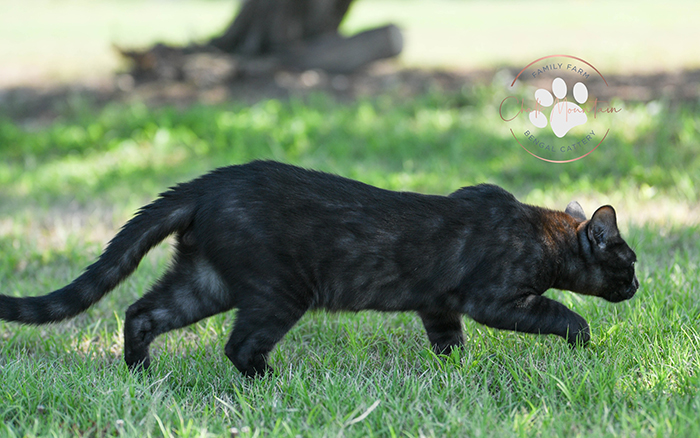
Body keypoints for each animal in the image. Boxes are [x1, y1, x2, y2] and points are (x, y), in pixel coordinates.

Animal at [0, 161, 640, 376]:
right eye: (627, 262)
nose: (637, 286)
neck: (541, 234)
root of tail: (207, 184)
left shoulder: (438, 305)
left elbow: (448, 342)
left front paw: (456, 372)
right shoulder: (498, 299)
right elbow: (563, 314)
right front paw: (584, 342)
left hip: (205, 281)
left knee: (141, 312)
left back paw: (139, 375)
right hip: (279, 291)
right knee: (237, 347)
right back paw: (271, 383)